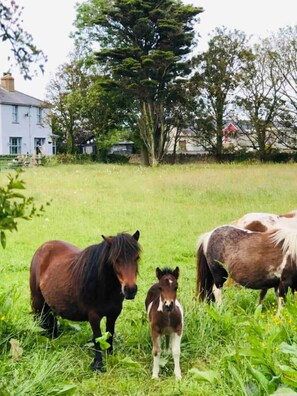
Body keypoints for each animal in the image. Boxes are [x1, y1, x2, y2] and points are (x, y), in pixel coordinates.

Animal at [29, 230, 140, 370]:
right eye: (116, 260)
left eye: (137, 257)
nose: (130, 290)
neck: (104, 288)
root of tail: (43, 247)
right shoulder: (93, 316)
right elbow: (97, 338)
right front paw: (98, 365)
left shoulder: (113, 314)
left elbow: (110, 334)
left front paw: (110, 355)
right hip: (38, 301)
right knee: (39, 321)